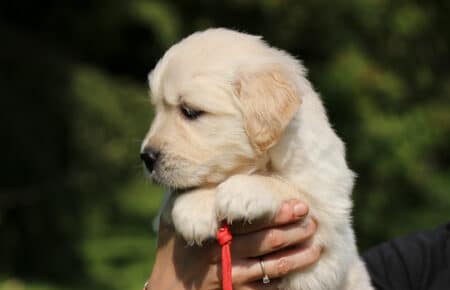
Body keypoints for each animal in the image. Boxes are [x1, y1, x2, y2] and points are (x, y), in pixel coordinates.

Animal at [141, 27, 372, 290]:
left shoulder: (327, 222)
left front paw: (240, 192)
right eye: (157, 110)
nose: (146, 157)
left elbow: (285, 184)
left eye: (190, 111)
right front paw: (195, 206)